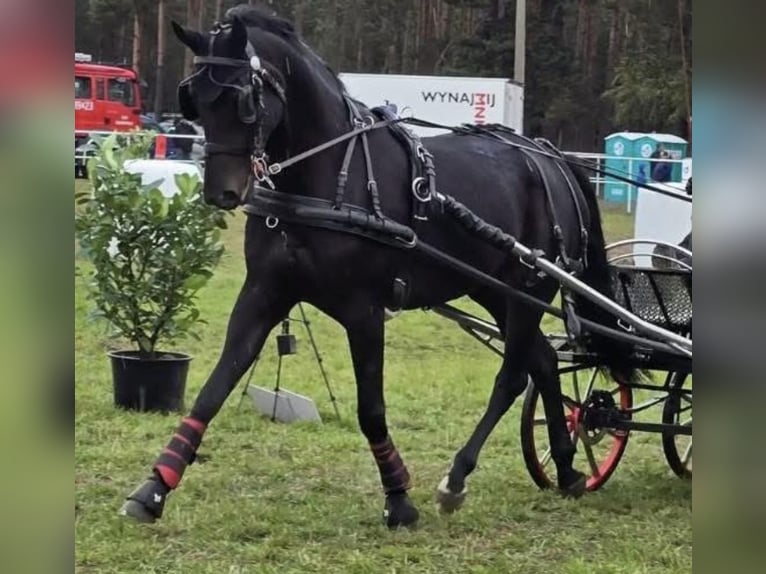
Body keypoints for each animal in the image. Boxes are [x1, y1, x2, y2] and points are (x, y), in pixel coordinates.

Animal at [120, 4, 630, 529]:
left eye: (243, 100)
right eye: (195, 101)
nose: (221, 192)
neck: (327, 180)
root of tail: (550, 156)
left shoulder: (364, 310)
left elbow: (371, 408)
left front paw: (398, 497)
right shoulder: (264, 293)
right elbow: (216, 385)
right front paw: (154, 488)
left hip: (528, 288)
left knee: (513, 376)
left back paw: (459, 477)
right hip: (491, 289)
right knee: (545, 362)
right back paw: (567, 468)